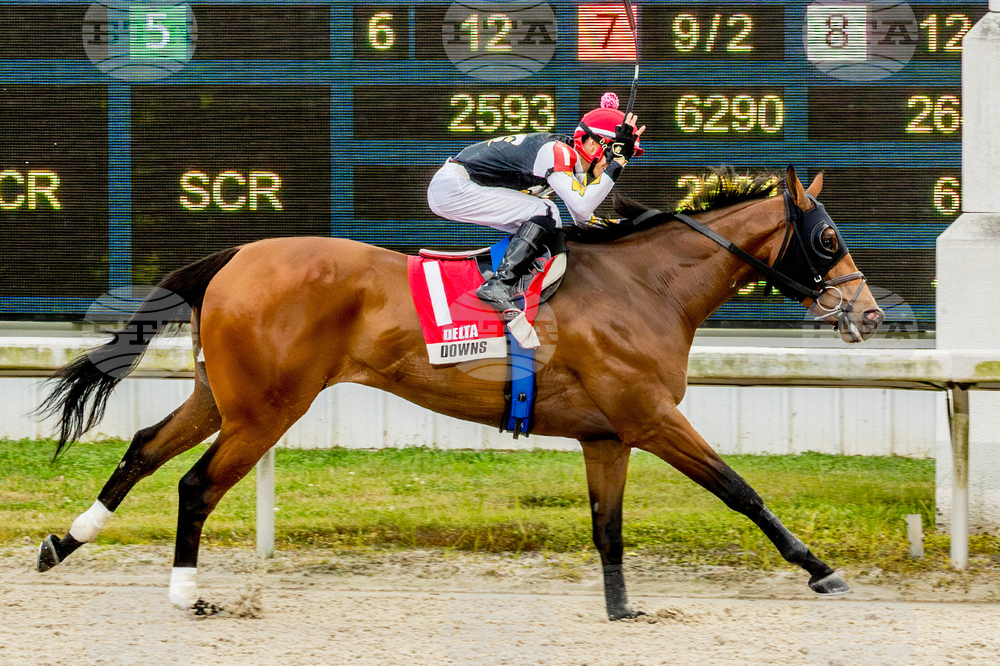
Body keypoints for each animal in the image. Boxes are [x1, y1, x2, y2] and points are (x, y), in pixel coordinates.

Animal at [36, 166, 883, 620]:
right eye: (829, 239)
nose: (870, 313)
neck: (646, 285)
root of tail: (236, 253)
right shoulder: (651, 417)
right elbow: (741, 490)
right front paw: (821, 569)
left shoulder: (607, 435)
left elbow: (607, 528)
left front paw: (621, 606)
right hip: (268, 409)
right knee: (195, 485)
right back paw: (188, 595)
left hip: (224, 396)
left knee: (143, 449)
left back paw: (62, 542)